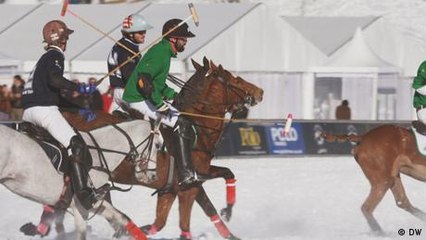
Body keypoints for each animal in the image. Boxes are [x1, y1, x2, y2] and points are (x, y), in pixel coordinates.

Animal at [0, 120, 155, 240]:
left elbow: (122, 217)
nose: (154, 177)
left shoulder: (93, 202)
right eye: (157, 147)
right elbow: (82, 232)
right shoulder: (84, 205)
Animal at [33, 57, 262, 239]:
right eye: (235, 79)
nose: (259, 92)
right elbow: (184, 222)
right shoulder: (188, 185)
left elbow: (213, 196)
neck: (198, 128)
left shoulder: (173, 188)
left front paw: (228, 213)